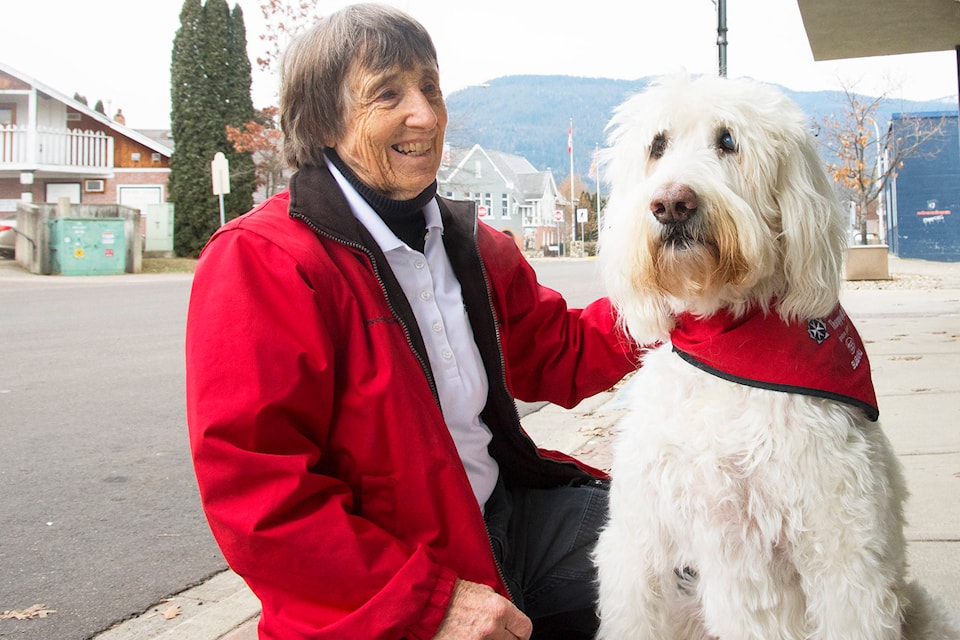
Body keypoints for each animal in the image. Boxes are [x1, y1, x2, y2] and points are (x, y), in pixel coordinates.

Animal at [592, 76, 960, 640]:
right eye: (657, 145)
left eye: (728, 141)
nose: (673, 203)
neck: (723, 340)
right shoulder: (643, 539)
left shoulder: (843, 544)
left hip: (919, 607)